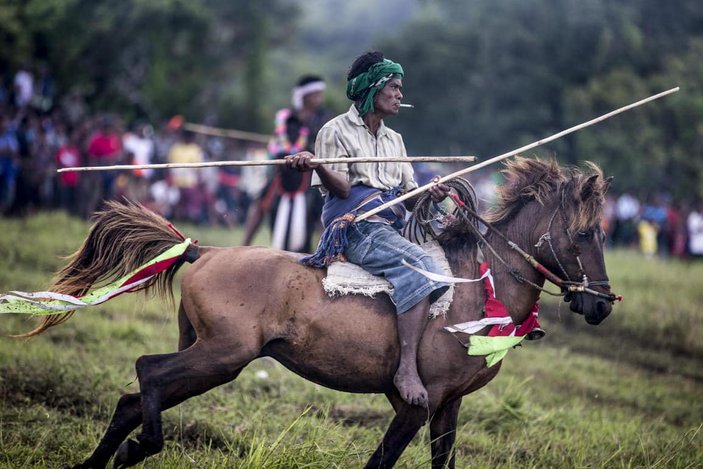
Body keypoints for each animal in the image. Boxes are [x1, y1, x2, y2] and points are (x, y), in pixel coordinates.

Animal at [22, 156, 616, 464]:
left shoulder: (450, 406)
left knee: (131, 398)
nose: (601, 304)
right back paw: (145, 444)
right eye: (586, 233)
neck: (472, 288)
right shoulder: (416, 405)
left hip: (208, 354)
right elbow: (381, 460)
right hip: (223, 355)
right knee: (147, 373)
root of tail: (206, 250)